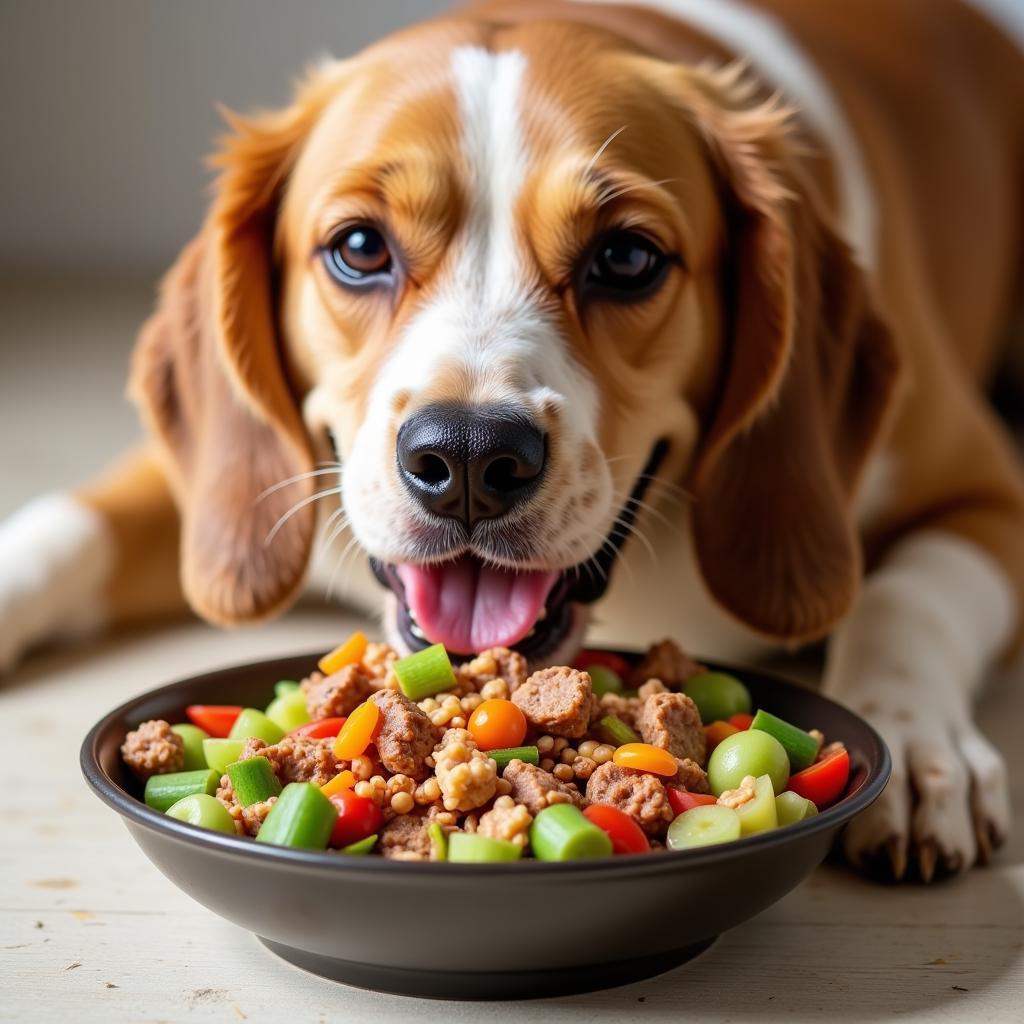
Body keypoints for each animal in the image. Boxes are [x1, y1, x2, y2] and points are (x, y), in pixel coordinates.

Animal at [2, 0, 1024, 880]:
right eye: (360, 248)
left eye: (626, 257)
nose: (464, 460)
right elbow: (61, 527)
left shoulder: (990, 491)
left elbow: (904, 601)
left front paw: (924, 750)